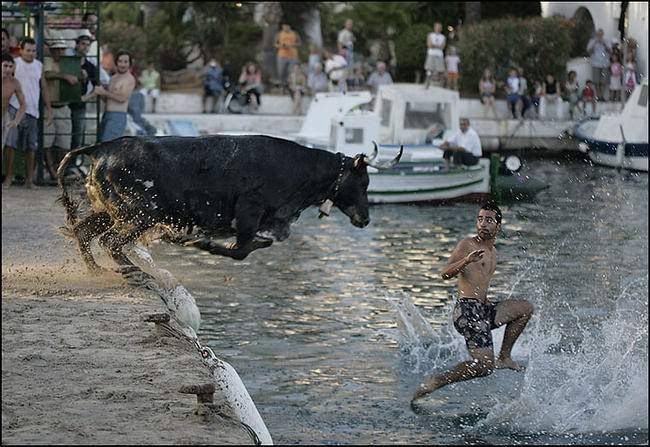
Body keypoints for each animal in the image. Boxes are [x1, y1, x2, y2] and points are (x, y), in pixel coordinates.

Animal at [57, 134, 400, 284]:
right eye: (364, 183)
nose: (365, 219)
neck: (298, 168)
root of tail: (102, 147)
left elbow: (255, 245)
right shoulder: (249, 212)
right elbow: (241, 250)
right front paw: (199, 242)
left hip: (111, 211)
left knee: (84, 232)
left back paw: (97, 270)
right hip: (141, 213)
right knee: (111, 241)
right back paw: (133, 270)